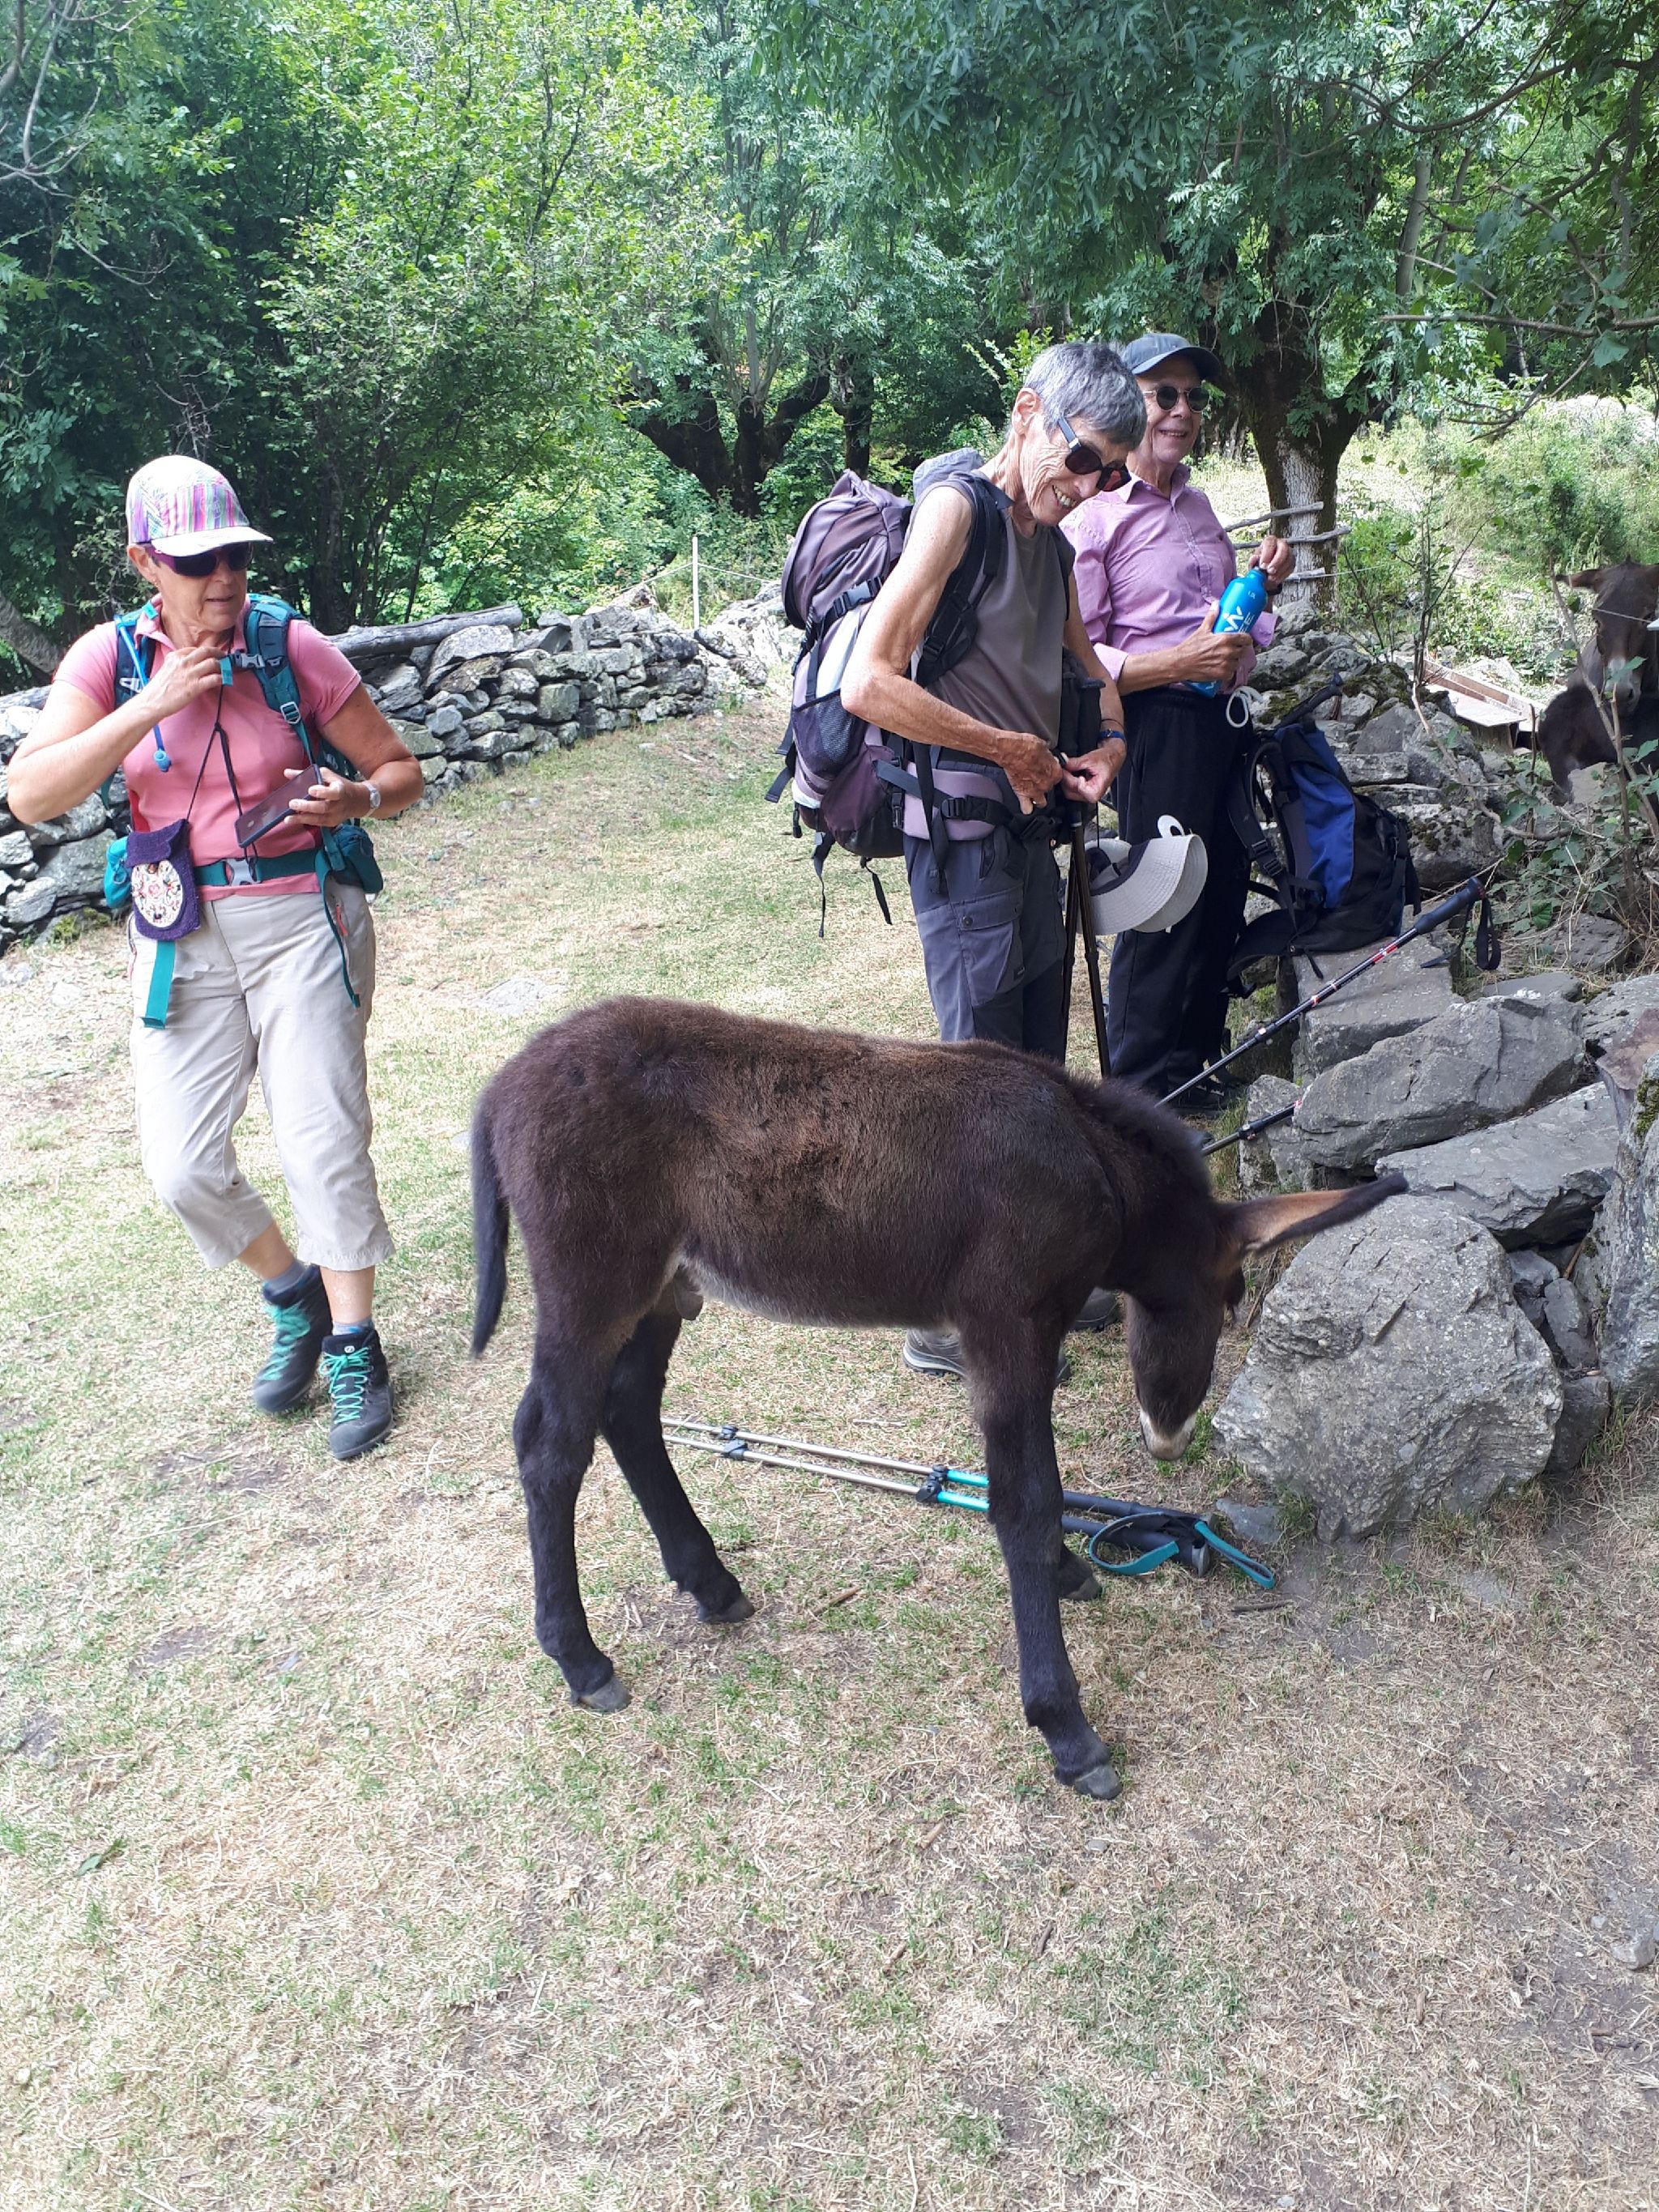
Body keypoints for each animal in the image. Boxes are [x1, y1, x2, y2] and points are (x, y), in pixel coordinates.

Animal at [471, 996, 1402, 1800]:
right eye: (1233, 1293)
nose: (1167, 1437)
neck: (1088, 1161)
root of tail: (503, 1084)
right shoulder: (1002, 1328)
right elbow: (1024, 1501)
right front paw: (1065, 1727)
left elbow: (1034, 1493)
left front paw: (1069, 1573)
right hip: (591, 1286)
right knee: (549, 1442)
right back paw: (581, 1658)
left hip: (661, 1289)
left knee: (627, 1408)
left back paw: (710, 1584)